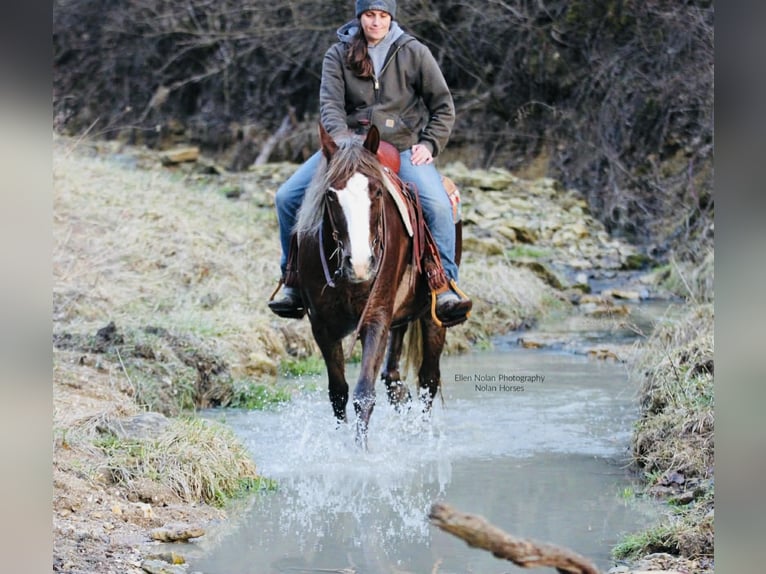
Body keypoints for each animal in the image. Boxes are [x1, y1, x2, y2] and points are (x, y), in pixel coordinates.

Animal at [293, 123, 462, 449]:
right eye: (330, 195)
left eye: (377, 191)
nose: (360, 263)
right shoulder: (321, 325)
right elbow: (338, 392)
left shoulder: (376, 317)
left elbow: (363, 393)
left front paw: (361, 453)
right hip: (400, 318)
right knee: (393, 375)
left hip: (432, 316)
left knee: (428, 378)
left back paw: (422, 435)